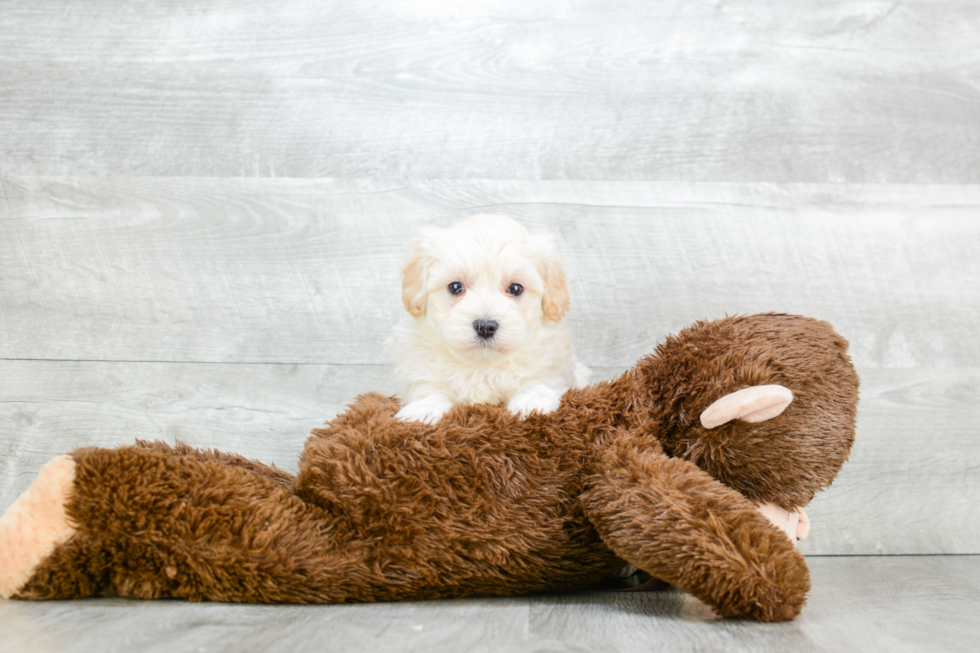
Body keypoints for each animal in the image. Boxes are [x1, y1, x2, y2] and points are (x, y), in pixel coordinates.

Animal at [386, 216, 588, 426]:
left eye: (515, 288)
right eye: (455, 287)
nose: (485, 327)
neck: (482, 365)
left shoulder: (552, 368)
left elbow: (538, 383)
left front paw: (532, 402)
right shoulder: (421, 369)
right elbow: (430, 391)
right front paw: (421, 411)